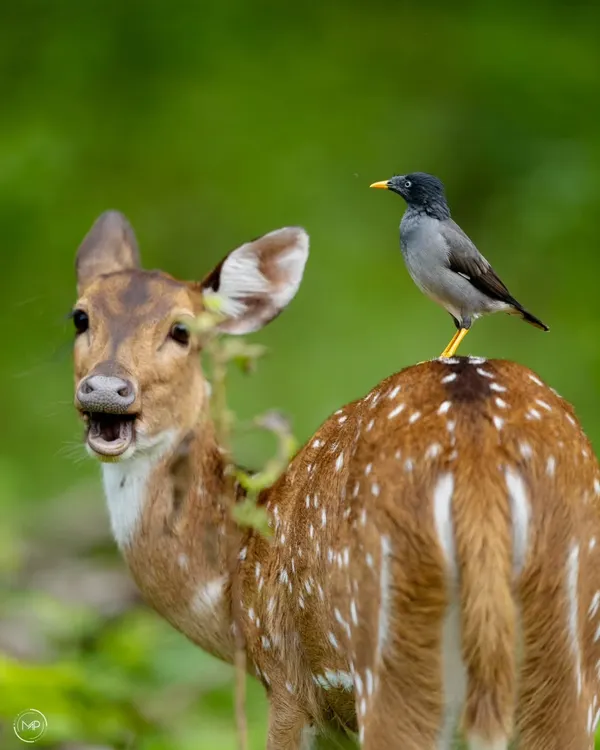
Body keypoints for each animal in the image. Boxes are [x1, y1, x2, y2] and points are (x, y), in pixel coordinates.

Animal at [71, 210, 600, 750]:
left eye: (182, 329)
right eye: (81, 317)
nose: (107, 389)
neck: (234, 577)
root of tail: (479, 458)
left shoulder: (285, 682)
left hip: (396, 665)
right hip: (570, 670)